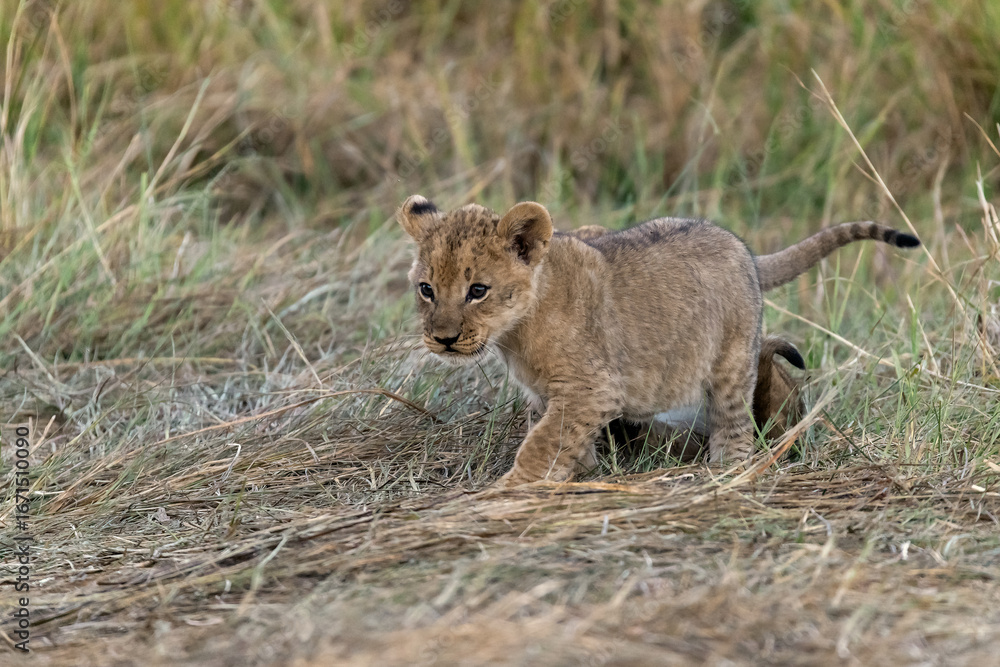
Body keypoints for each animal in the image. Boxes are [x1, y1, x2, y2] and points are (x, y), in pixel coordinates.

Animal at [397, 195, 919, 486]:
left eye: (477, 291)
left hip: (730, 360)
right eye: (427, 289)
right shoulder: (547, 395)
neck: (516, 334)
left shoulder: (592, 388)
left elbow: (543, 442)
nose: (443, 340)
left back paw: (724, 471)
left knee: (736, 423)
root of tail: (743, 249)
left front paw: (511, 488)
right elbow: (558, 437)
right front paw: (580, 472)